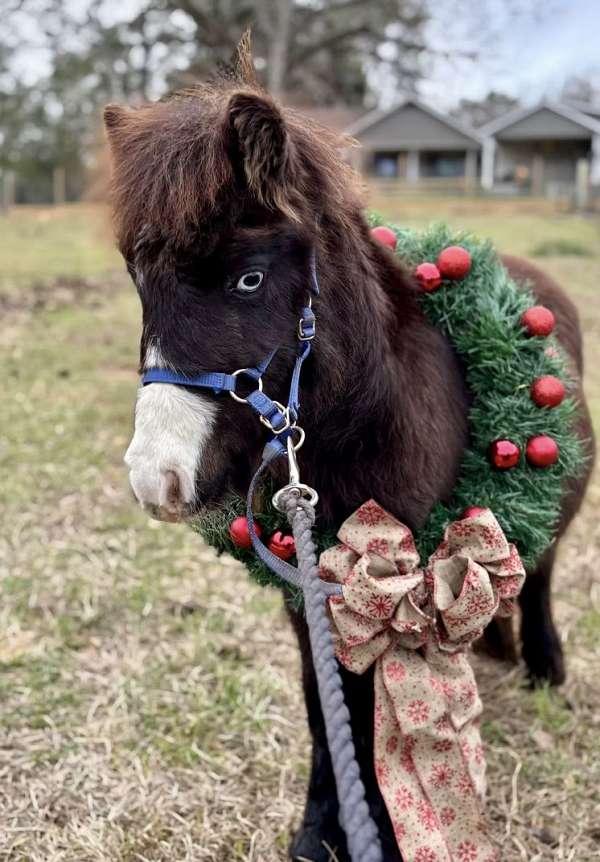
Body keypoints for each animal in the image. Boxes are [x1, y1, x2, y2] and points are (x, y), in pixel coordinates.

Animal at [103, 36, 594, 862]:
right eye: (141, 283)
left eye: (249, 279)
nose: (156, 479)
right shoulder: (307, 594)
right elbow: (323, 706)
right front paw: (318, 829)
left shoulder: (403, 592)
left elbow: (371, 714)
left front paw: (384, 830)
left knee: (545, 570)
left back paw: (545, 665)